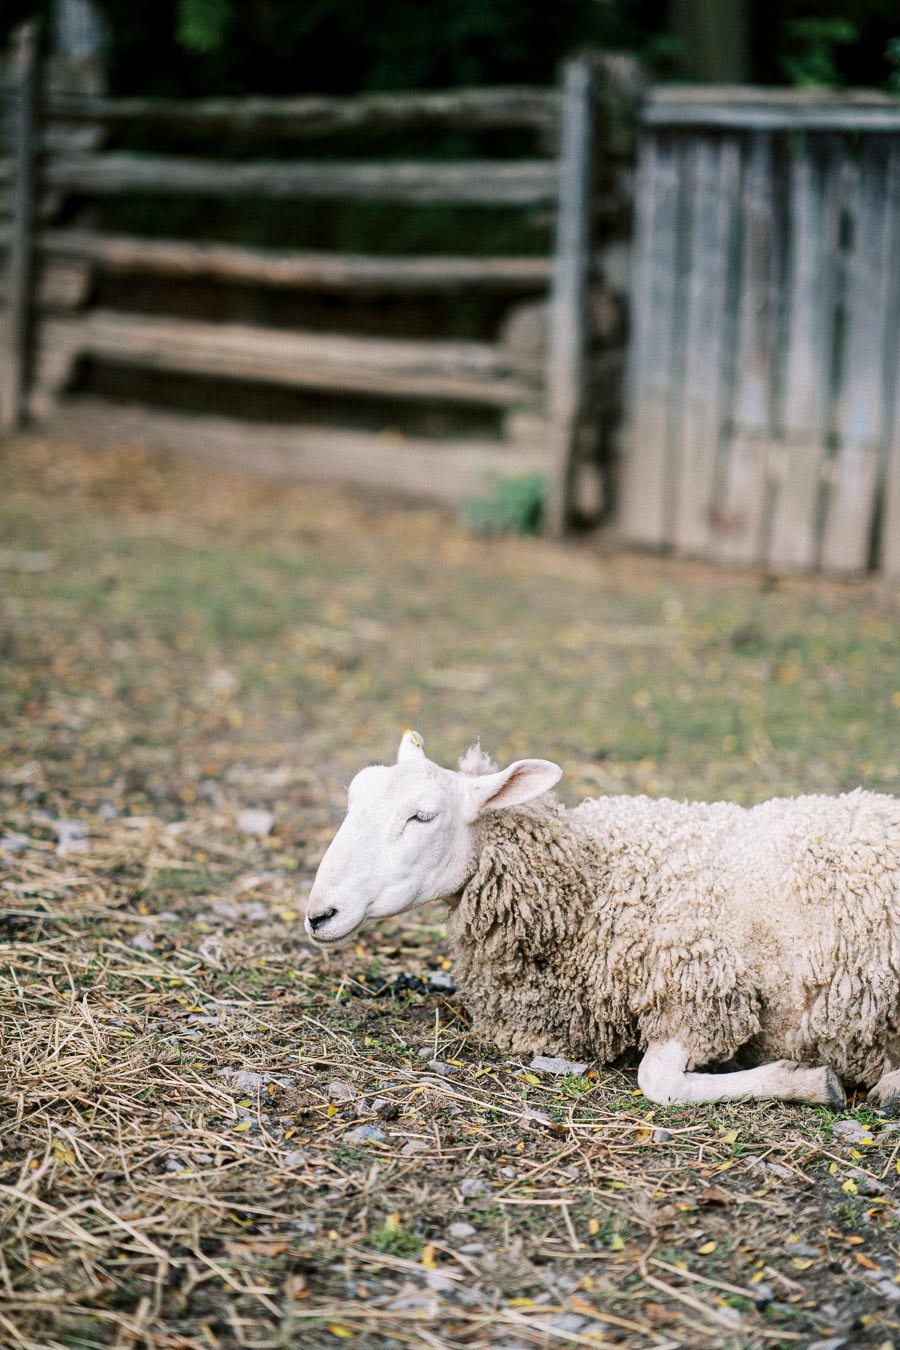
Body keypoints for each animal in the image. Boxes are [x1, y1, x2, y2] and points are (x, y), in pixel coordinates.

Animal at [305, 730, 900, 1111]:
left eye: (422, 816)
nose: (318, 915)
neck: (594, 878)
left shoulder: (700, 991)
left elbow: (659, 1084)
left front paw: (809, 1082)